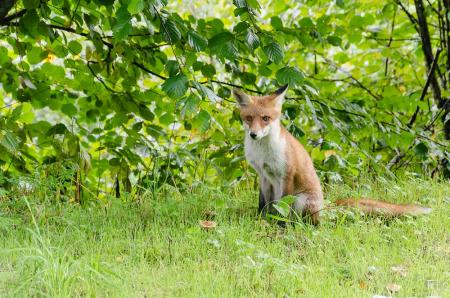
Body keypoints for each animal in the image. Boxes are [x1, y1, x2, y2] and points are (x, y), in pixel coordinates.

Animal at [234, 84, 430, 224]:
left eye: (266, 118)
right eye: (249, 118)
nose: (253, 134)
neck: (263, 153)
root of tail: (323, 208)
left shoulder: (286, 174)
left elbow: (283, 204)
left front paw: (279, 224)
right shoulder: (263, 174)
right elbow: (262, 204)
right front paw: (261, 220)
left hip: (301, 200)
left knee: (309, 221)